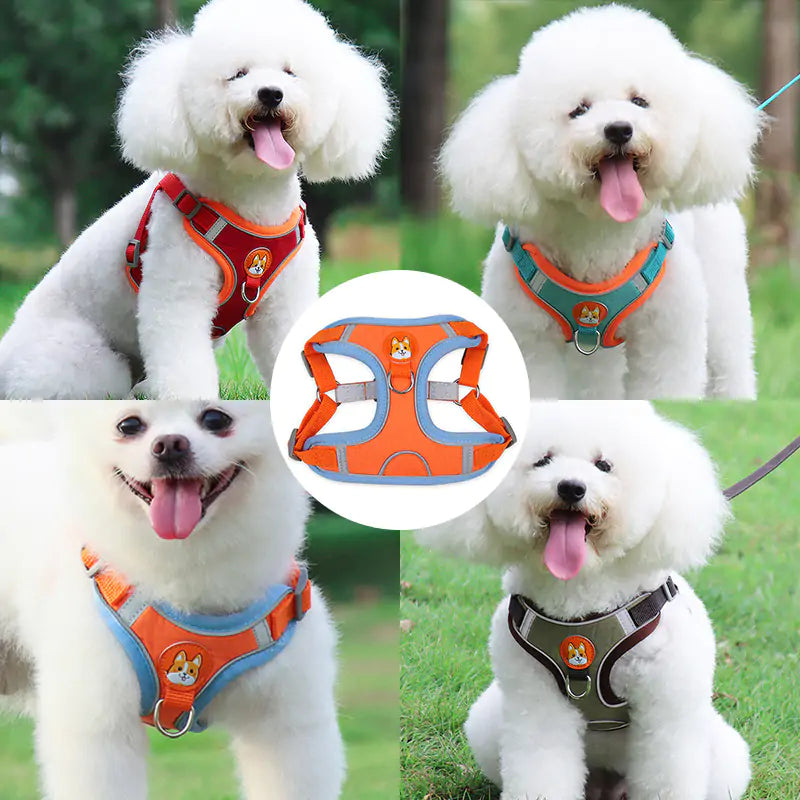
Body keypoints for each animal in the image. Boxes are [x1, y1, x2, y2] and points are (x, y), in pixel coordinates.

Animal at [0, 0, 390, 400]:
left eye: (290, 73)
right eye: (237, 75)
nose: (270, 93)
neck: (253, 198)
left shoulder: (286, 300)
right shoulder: (178, 291)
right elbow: (182, 363)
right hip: (82, 362)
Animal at [418, 406, 752, 800]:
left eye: (603, 465)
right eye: (543, 460)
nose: (571, 487)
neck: (580, 595)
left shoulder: (667, 705)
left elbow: (667, 771)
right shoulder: (537, 700)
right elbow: (541, 765)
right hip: (488, 724)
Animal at [444, 6, 764, 400]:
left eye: (639, 101)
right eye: (579, 109)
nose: (619, 129)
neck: (599, 232)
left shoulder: (668, 331)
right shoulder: (529, 337)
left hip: (722, 290)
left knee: (730, 357)